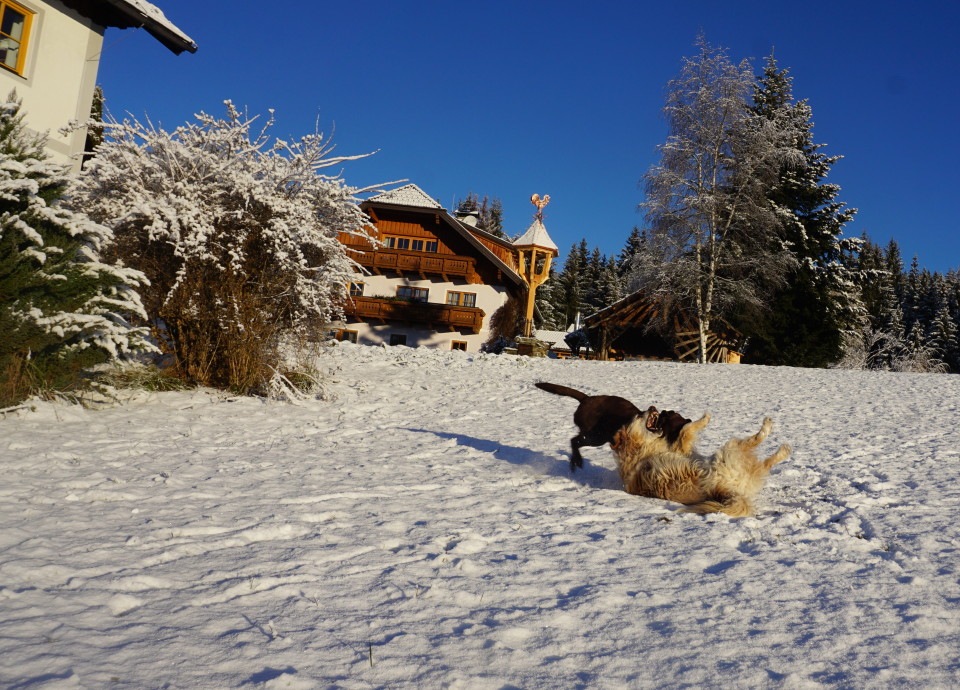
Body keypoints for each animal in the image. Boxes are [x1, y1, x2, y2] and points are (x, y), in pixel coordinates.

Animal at [532, 382, 688, 472]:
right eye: (666, 418)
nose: (654, 408)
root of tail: (586, 398)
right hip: (597, 436)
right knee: (574, 441)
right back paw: (577, 461)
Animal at [612, 408, 792, 516]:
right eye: (638, 415)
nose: (652, 407)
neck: (637, 447)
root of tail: (726, 490)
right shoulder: (681, 448)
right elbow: (686, 429)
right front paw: (704, 419)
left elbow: (685, 430)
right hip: (728, 452)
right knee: (756, 442)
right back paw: (771, 433)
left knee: (765, 465)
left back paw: (783, 451)